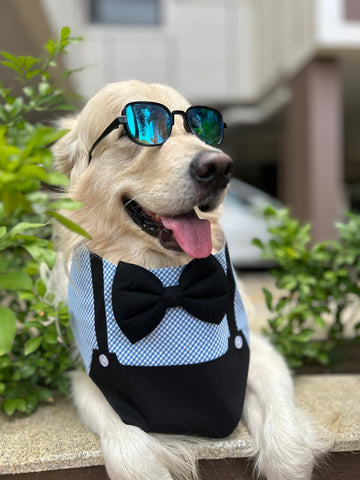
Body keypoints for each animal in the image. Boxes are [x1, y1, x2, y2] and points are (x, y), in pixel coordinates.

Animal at [51, 80, 326, 478]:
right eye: (138, 128)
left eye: (201, 128)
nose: (220, 167)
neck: (166, 280)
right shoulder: (85, 371)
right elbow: (129, 448)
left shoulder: (257, 350)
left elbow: (286, 442)